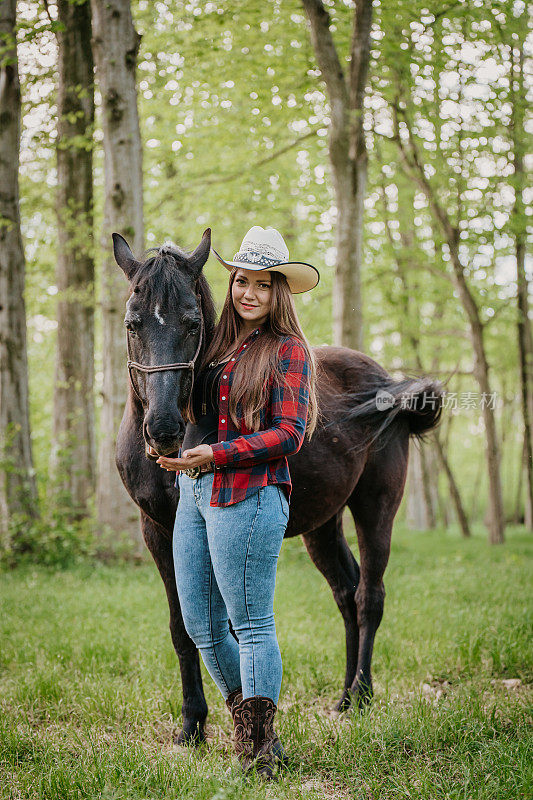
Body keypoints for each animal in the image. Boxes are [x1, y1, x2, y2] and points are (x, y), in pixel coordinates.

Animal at [111, 227, 440, 744]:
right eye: (132, 324)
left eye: (191, 324)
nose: (163, 429)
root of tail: (386, 383)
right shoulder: (159, 532)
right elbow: (184, 629)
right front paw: (192, 724)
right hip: (323, 524)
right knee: (346, 593)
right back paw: (344, 698)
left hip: (376, 507)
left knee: (369, 596)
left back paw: (362, 697)